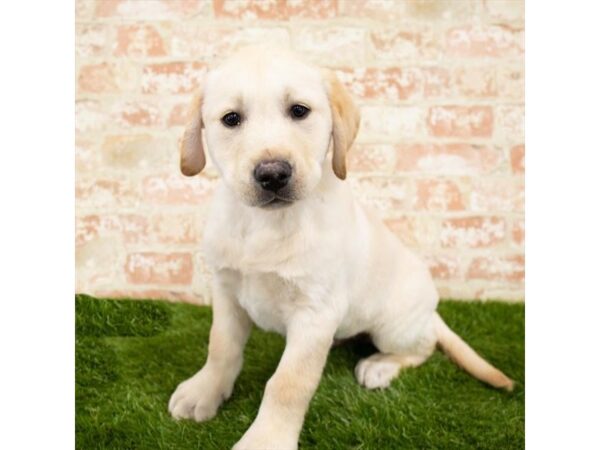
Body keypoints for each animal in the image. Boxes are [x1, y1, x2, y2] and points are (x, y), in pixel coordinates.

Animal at [168, 45, 510, 450]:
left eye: (299, 111)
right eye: (231, 119)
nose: (272, 174)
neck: (268, 224)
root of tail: (431, 312)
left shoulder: (315, 311)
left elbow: (288, 383)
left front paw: (266, 439)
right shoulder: (226, 292)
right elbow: (220, 347)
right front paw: (204, 391)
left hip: (393, 326)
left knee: (423, 347)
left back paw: (380, 365)